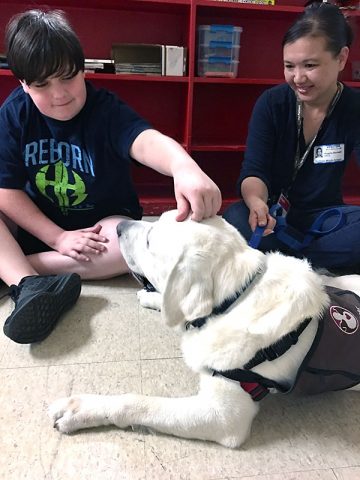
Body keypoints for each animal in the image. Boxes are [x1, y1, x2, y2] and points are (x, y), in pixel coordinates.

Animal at [48, 212, 360, 448]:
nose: (119, 227)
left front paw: (79, 410)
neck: (236, 298)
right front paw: (153, 299)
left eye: (149, 240)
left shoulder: (223, 417)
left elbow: (136, 403)